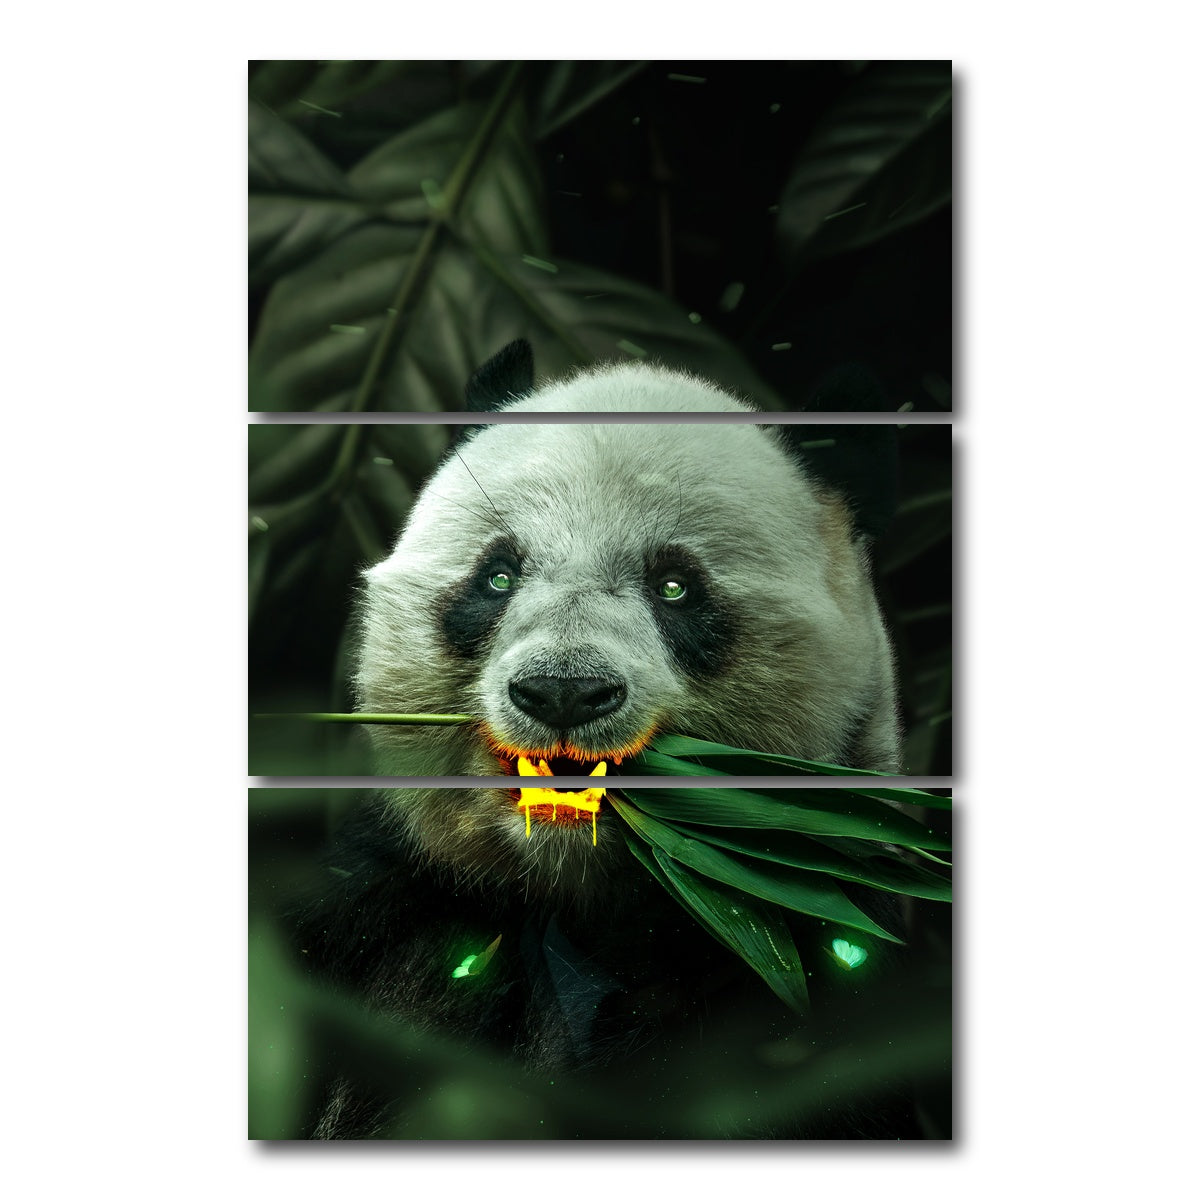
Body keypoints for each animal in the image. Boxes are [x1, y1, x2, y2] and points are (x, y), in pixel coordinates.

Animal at [293, 342, 926, 1139]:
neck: (573, 888)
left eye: (676, 587)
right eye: (498, 576)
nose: (562, 691)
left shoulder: (805, 951)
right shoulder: (387, 899)